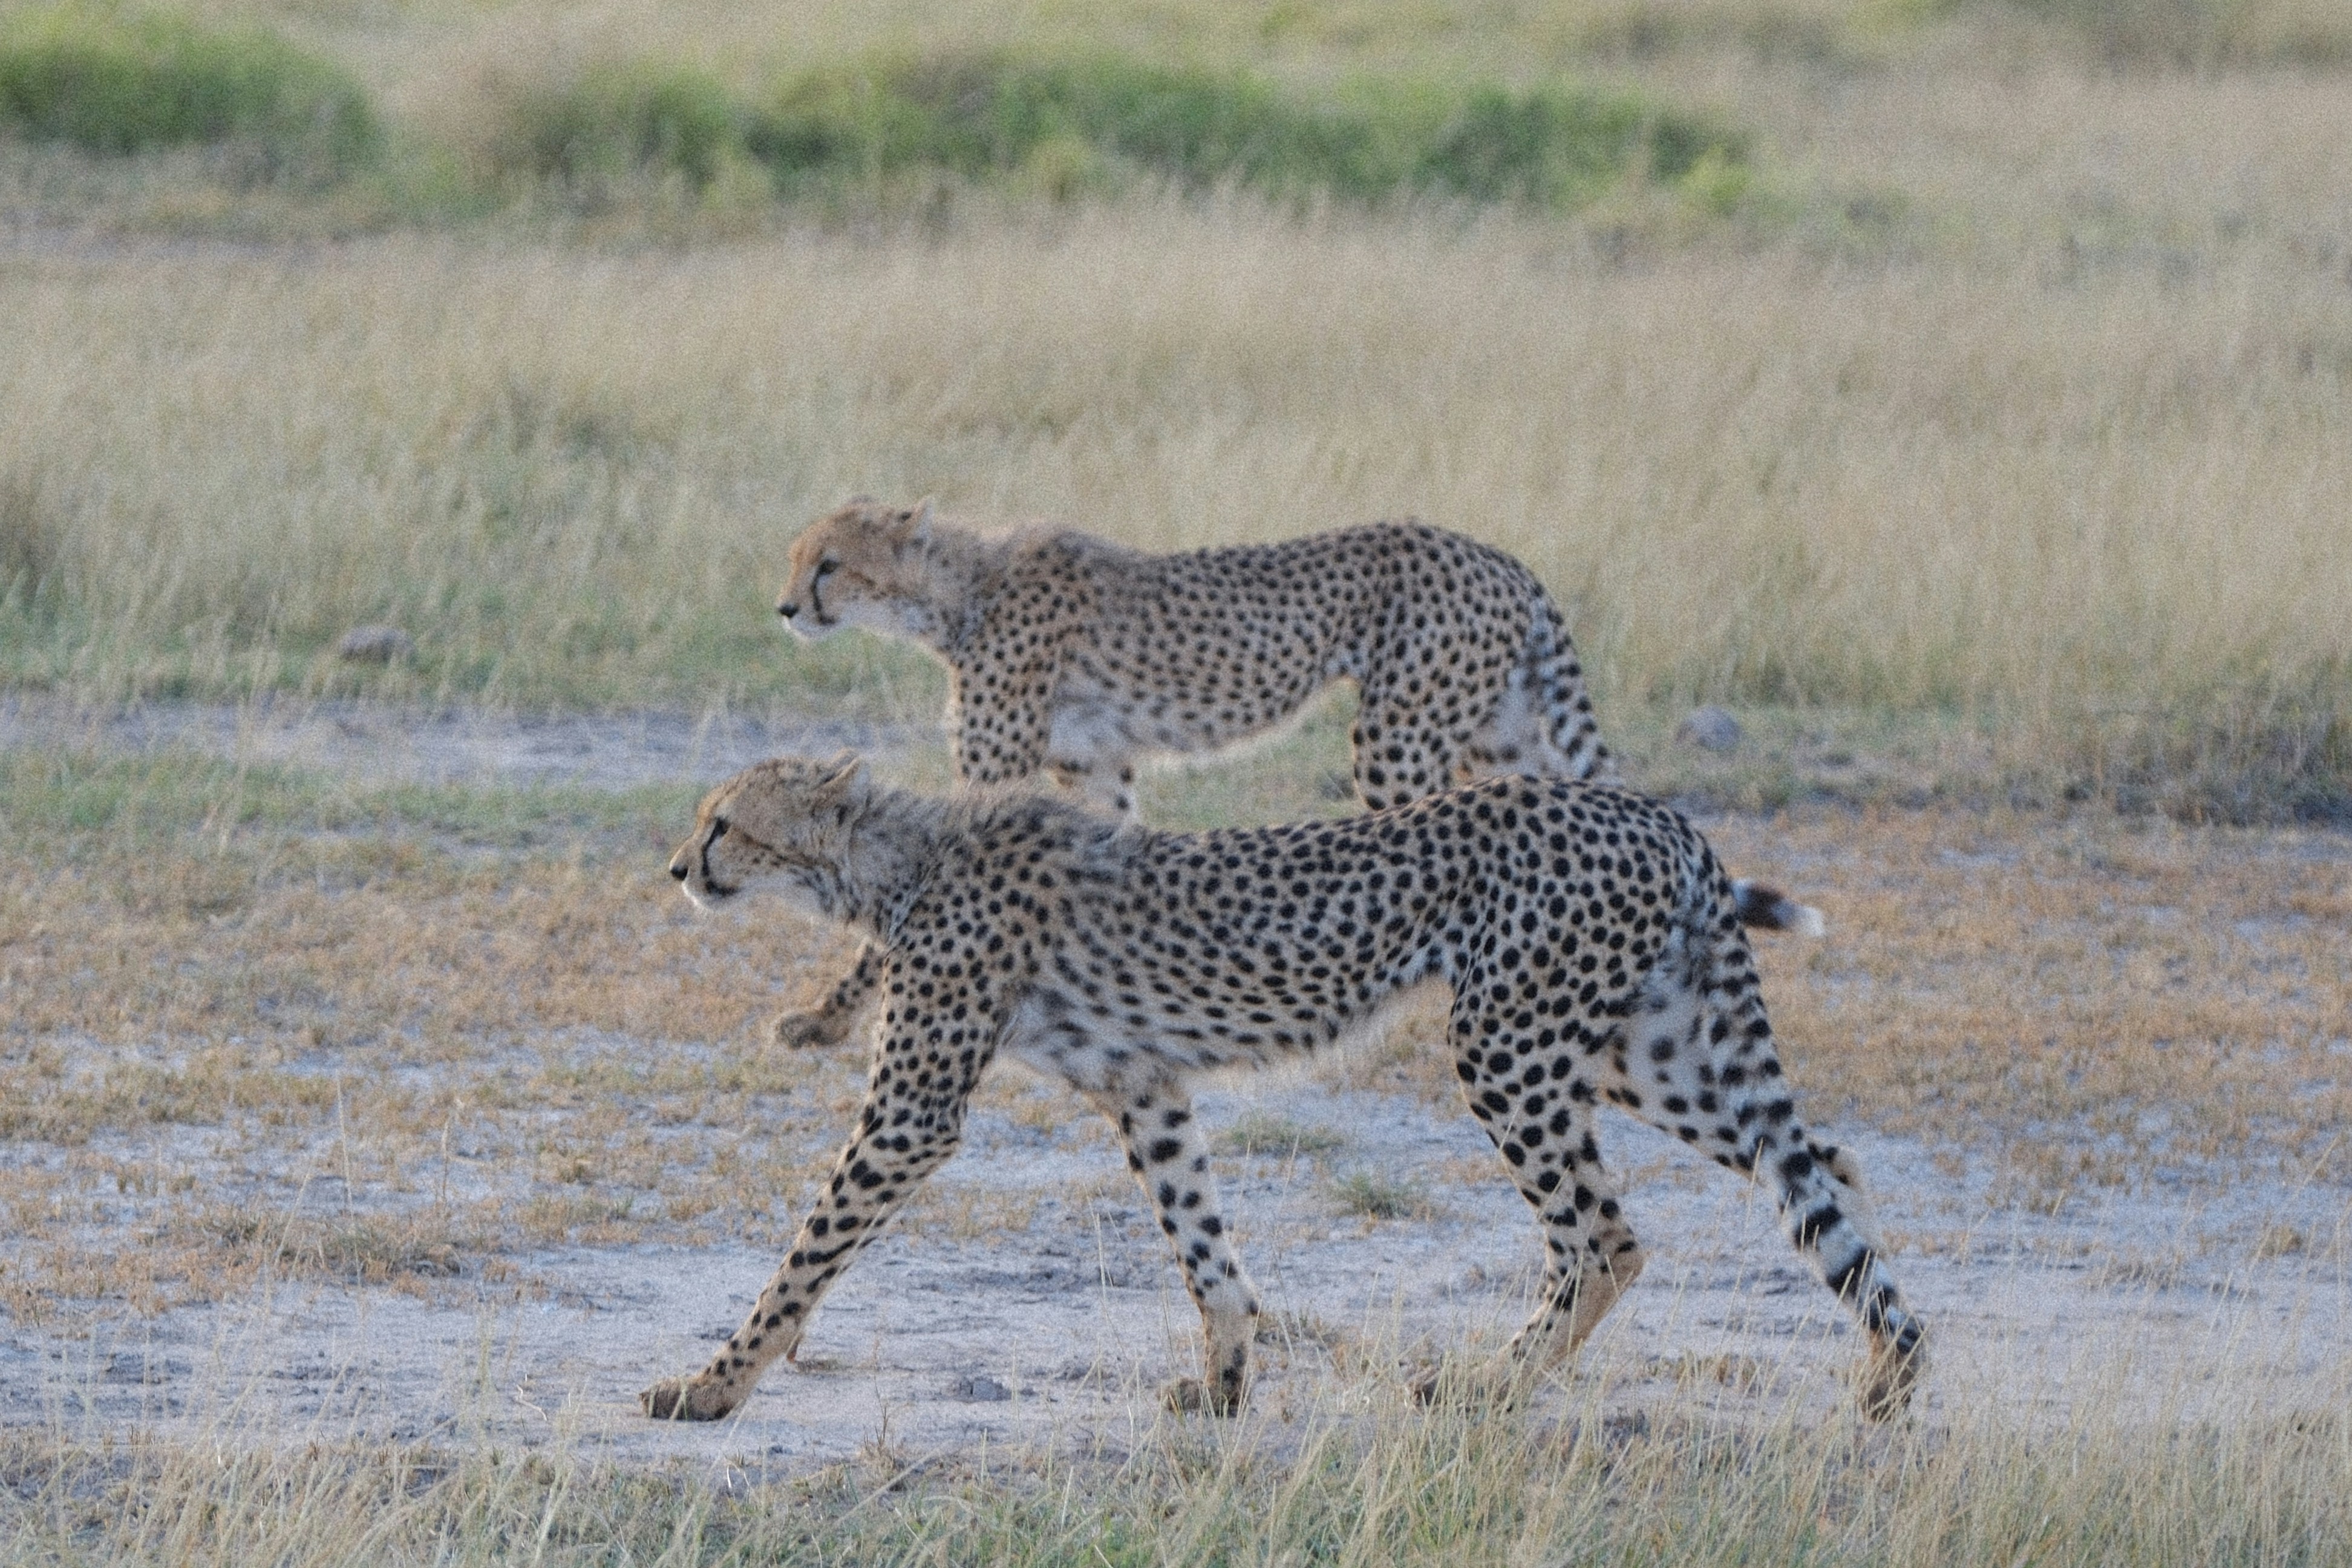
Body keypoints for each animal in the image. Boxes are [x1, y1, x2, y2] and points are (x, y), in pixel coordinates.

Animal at [638, 752, 1926, 1425]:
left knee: (1605, 1237)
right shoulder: (1145, 1085)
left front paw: (711, 1383)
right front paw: (1222, 1381)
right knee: (1816, 1162)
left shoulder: (912, 1115)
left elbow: (806, 1250)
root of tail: (1648, 807)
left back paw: (1482, 1381)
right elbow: (1201, 1242)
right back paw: (1886, 1370)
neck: (893, 863)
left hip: (1510, 1045)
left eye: (725, 822)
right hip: (1633, 1048)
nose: (678, 867)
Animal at [765, 497, 1823, 1054]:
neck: (957, 593)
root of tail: (1500, 557)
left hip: (1400, 736)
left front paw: (822, 1018)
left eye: (829, 564)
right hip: (1506, 738)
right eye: (798, 558)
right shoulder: (1097, 769)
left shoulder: (997, 770)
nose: (783, 609)